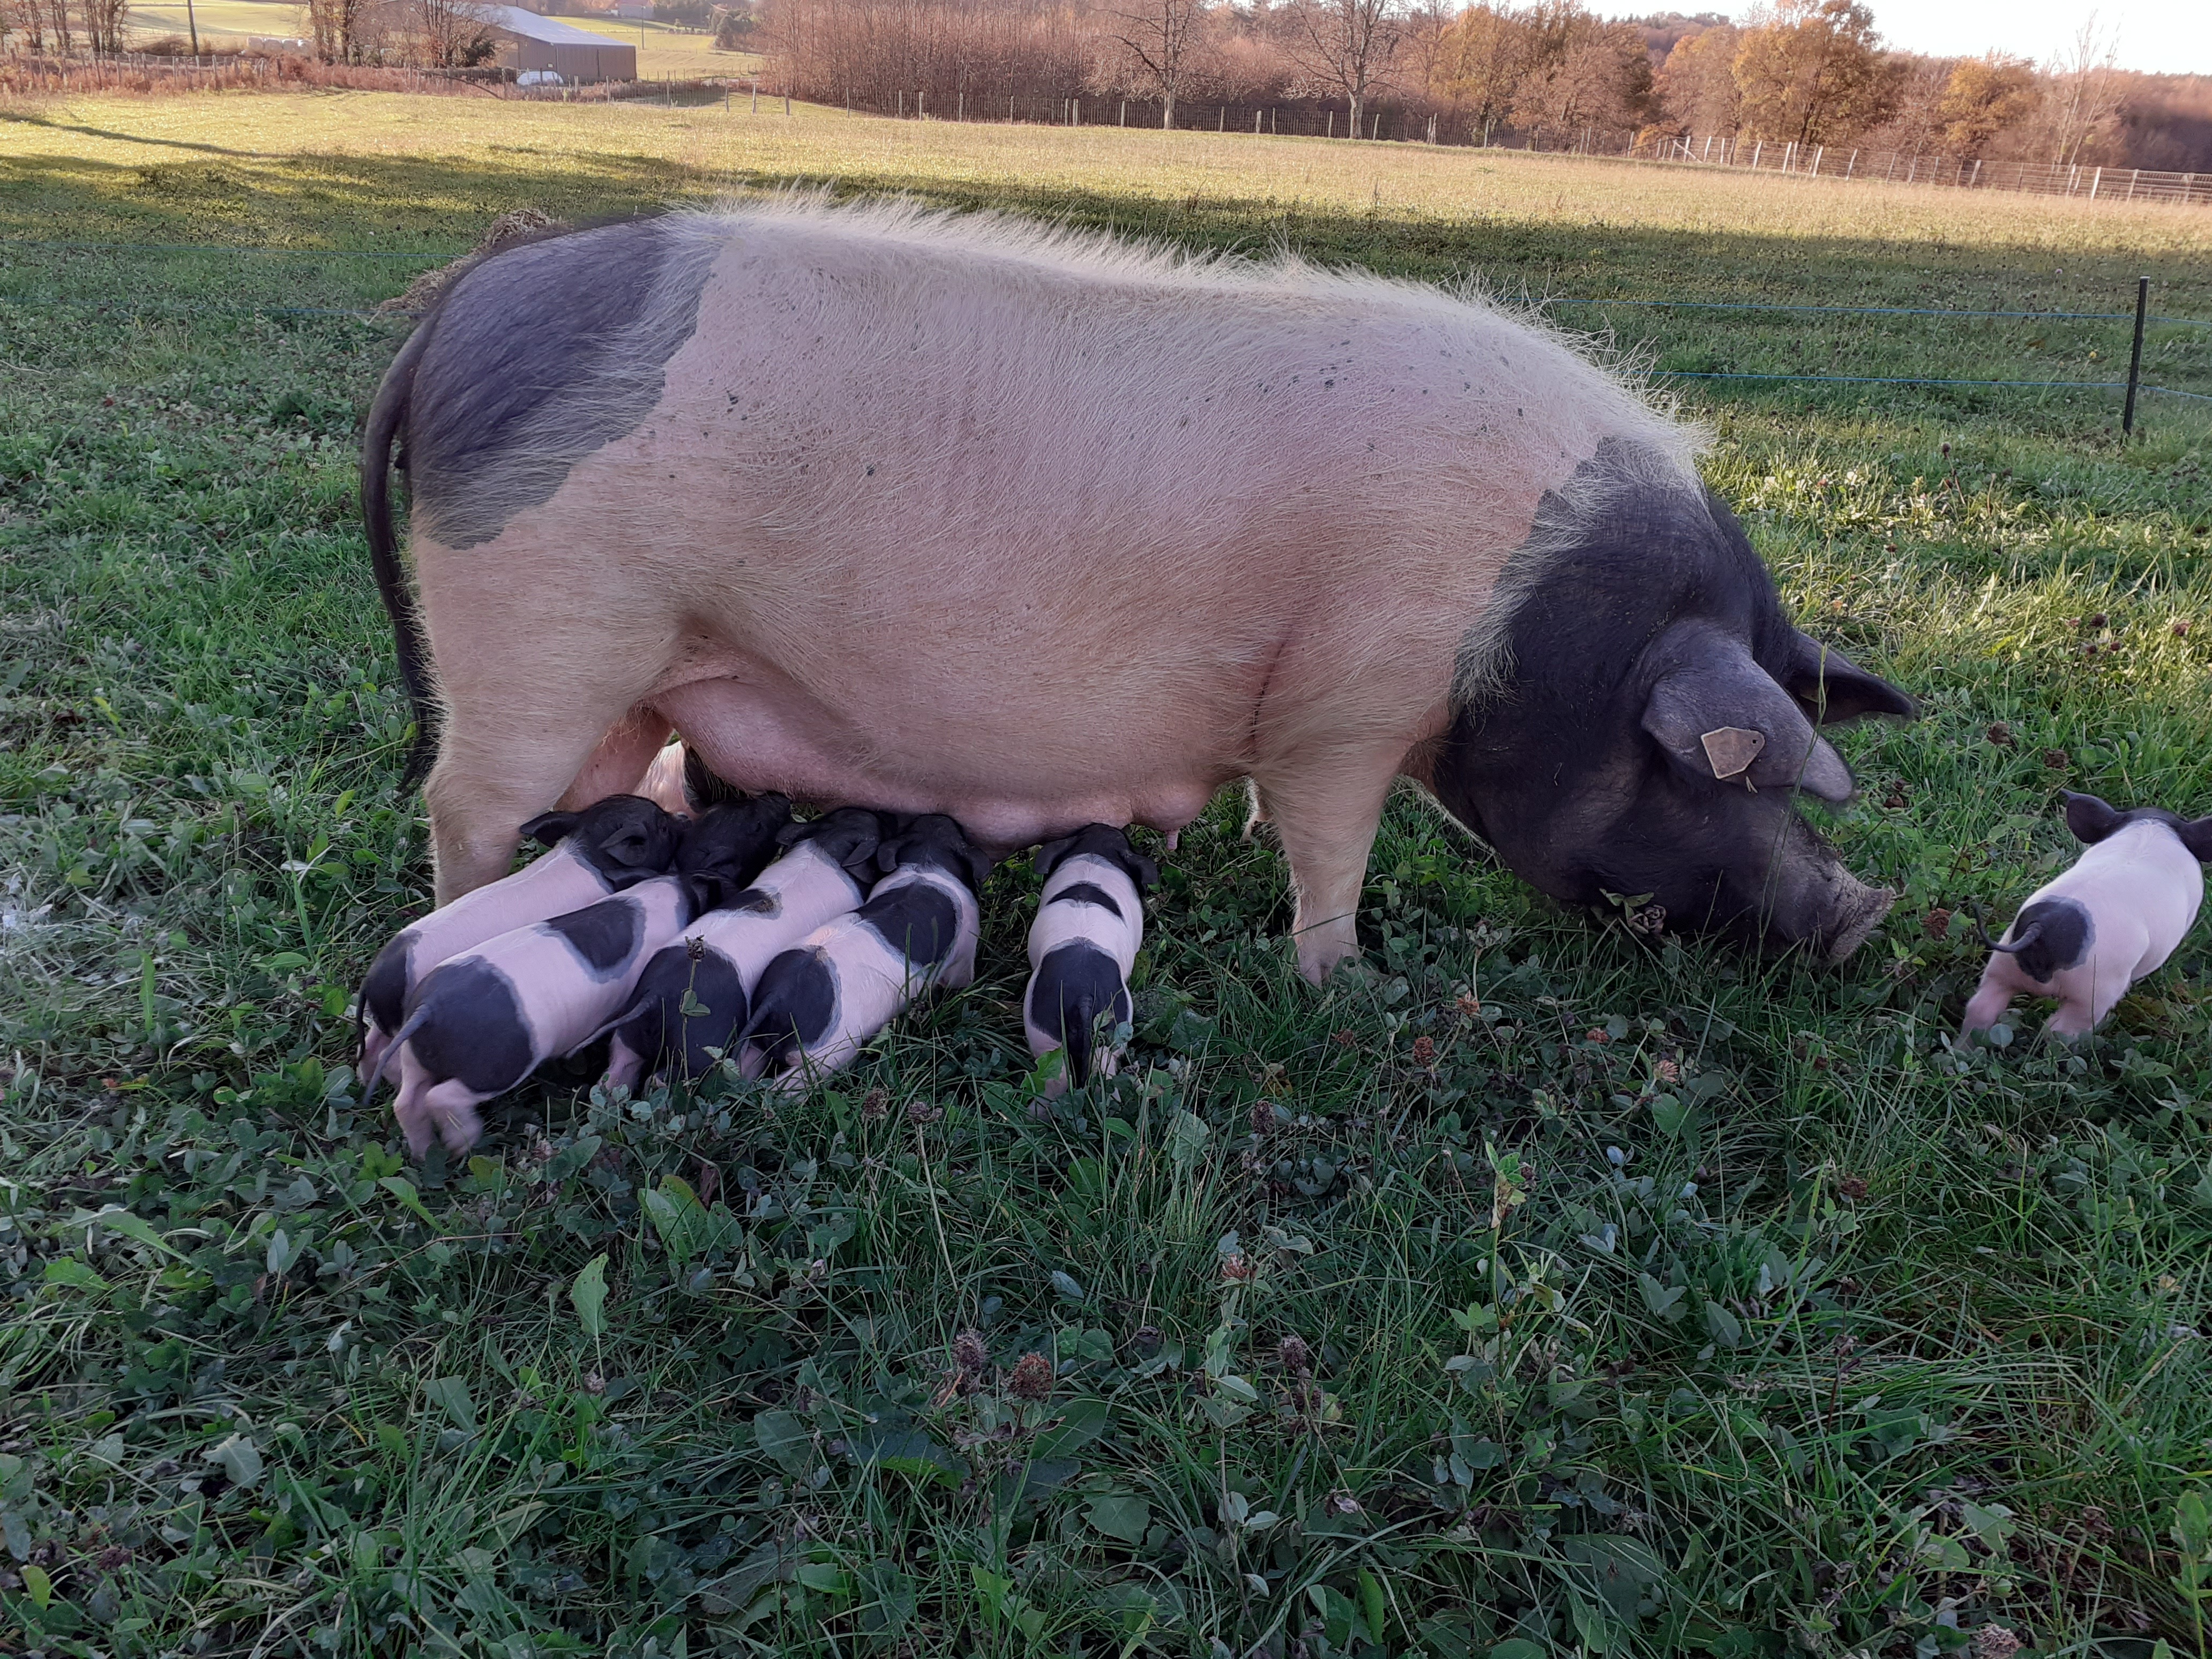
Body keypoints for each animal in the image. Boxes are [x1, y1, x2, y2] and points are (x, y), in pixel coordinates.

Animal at [361, 198, 1914, 982]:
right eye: (1722, 776)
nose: (1865, 918)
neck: (1532, 630)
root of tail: (452, 311)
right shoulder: (1348, 707)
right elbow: (1330, 846)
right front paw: (1341, 982)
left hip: (639, 668)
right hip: (535, 629)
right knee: (464, 802)